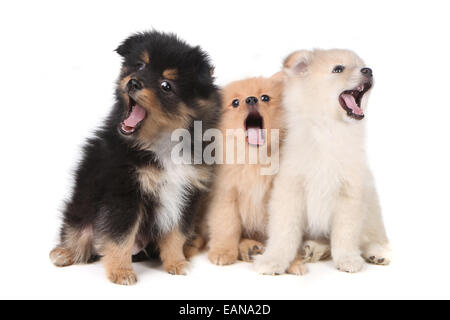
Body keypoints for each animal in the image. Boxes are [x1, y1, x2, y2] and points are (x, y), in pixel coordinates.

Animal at [50, 30, 221, 284]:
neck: (162, 143)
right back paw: (64, 253)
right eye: (140, 65)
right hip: (82, 203)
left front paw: (176, 262)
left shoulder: (187, 193)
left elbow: (176, 233)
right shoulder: (125, 191)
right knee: (78, 230)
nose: (133, 82)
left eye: (166, 85)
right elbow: (121, 235)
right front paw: (121, 272)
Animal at [255, 48, 392, 274]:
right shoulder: (290, 191)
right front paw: (274, 259)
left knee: (370, 236)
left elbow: (345, 235)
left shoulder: (350, 194)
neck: (328, 131)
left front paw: (347, 259)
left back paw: (377, 252)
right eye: (338, 69)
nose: (368, 70)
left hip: (371, 207)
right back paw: (311, 249)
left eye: (361, 65)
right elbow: (284, 233)